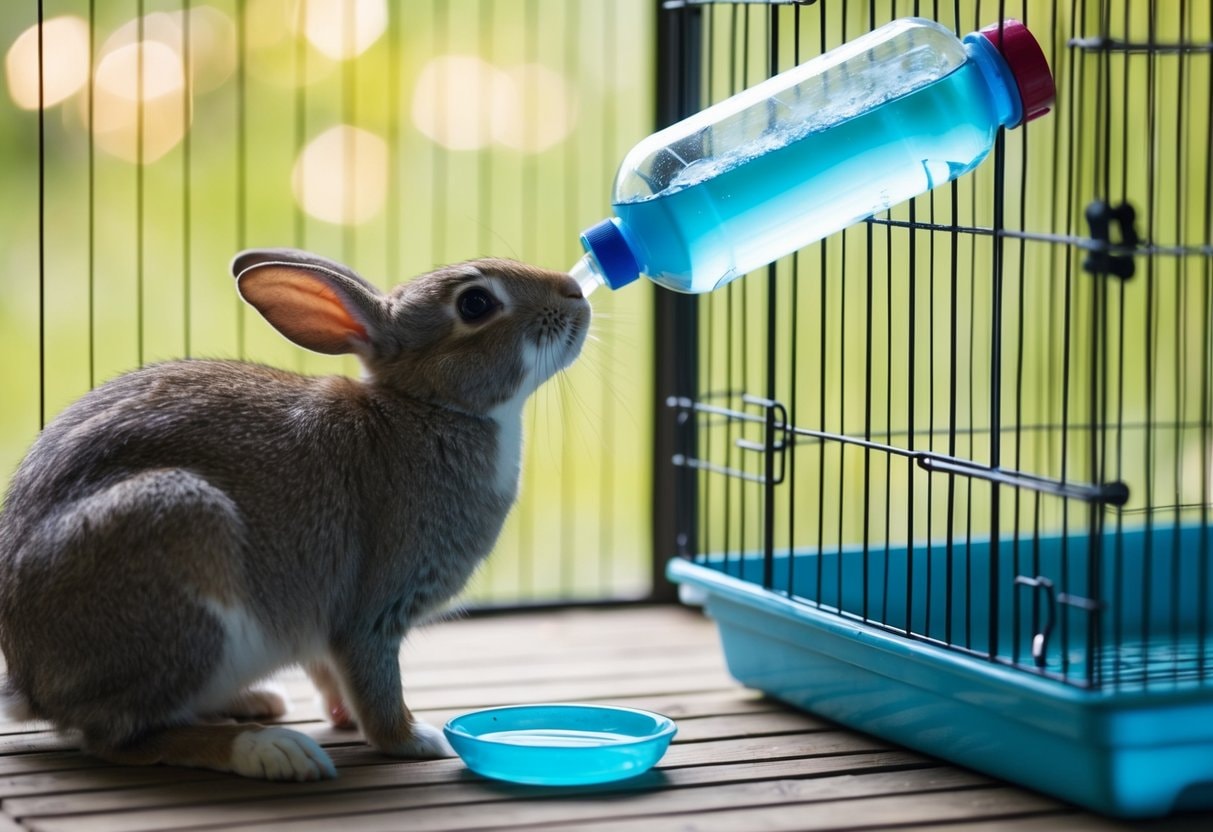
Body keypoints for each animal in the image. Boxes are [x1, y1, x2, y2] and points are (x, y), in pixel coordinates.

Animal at [0, 247, 591, 781]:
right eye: (475, 303)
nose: (575, 293)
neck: (427, 406)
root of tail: (31, 680)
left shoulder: (326, 631)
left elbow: (332, 672)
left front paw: (342, 715)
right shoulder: (371, 611)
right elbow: (375, 683)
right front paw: (415, 739)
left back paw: (255, 703)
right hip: (181, 552)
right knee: (118, 738)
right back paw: (270, 750)